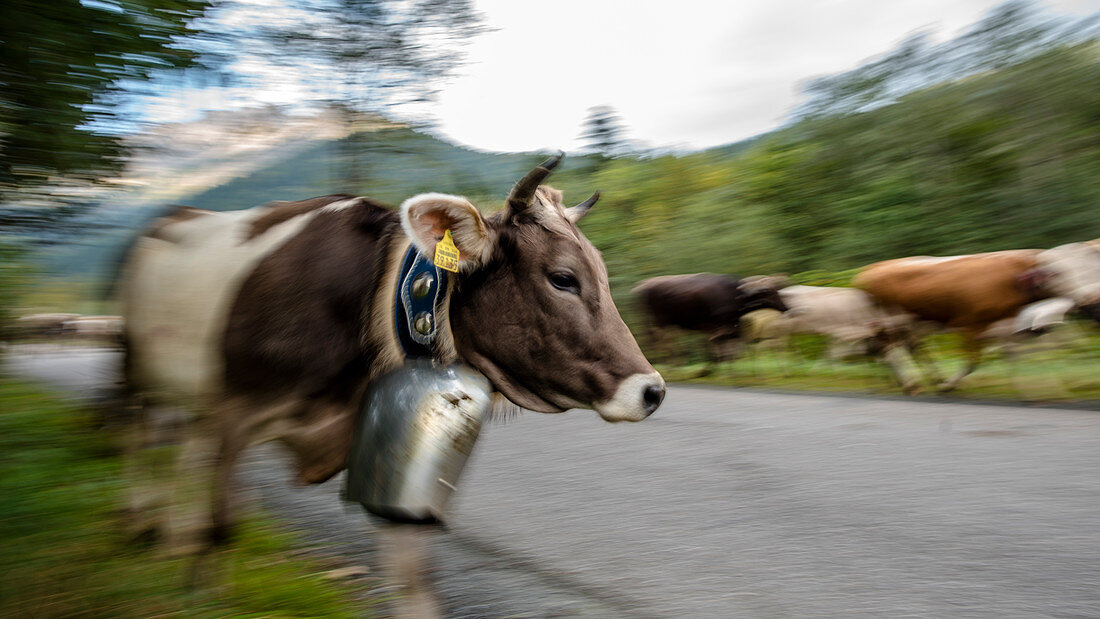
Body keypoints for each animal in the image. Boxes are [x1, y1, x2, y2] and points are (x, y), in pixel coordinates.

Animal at [124, 156, 664, 556]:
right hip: (142, 373)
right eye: (563, 278)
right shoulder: (235, 414)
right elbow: (216, 530)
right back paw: (141, 524)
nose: (652, 390)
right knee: (145, 440)